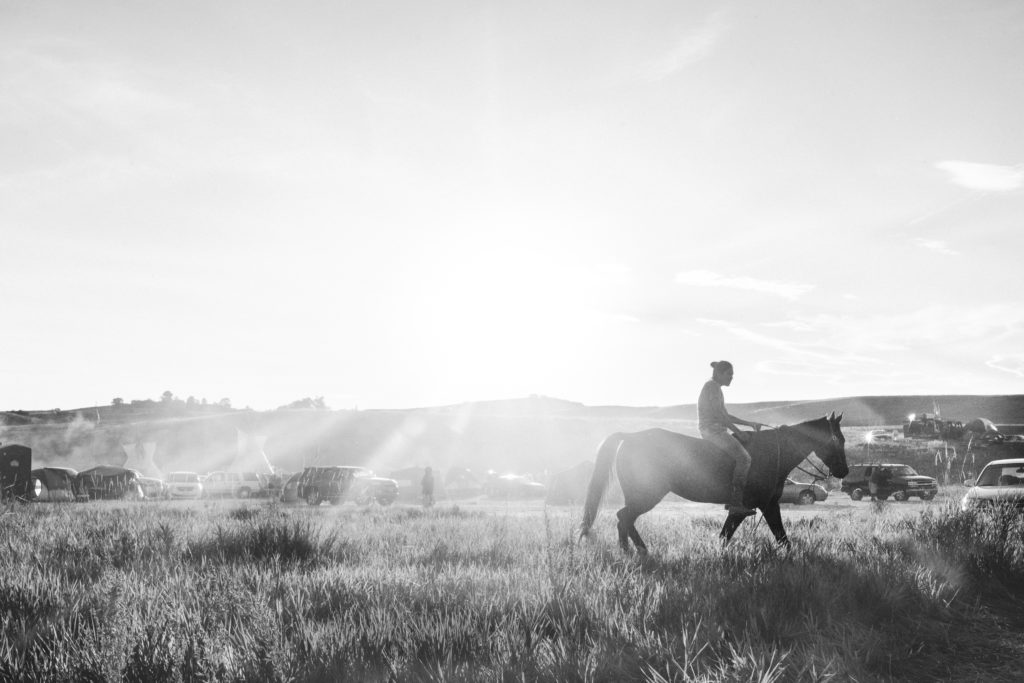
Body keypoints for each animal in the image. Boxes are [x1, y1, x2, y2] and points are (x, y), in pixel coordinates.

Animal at [579, 413, 849, 553]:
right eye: (839, 439)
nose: (844, 471)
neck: (775, 452)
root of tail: (629, 437)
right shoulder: (765, 505)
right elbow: (781, 536)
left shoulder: (749, 509)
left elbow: (727, 535)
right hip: (646, 496)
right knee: (623, 517)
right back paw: (634, 552)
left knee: (625, 519)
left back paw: (636, 551)